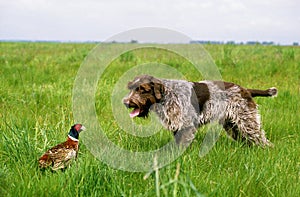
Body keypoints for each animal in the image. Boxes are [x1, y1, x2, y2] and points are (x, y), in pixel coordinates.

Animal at [122, 75, 276, 148]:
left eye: (142, 90)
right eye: (131, 88)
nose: (126, 102)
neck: (167, 95)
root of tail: (245, 90)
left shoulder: (186, 126)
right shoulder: (177, 126)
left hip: (247, 122)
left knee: (262, 139)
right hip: (233, 125)